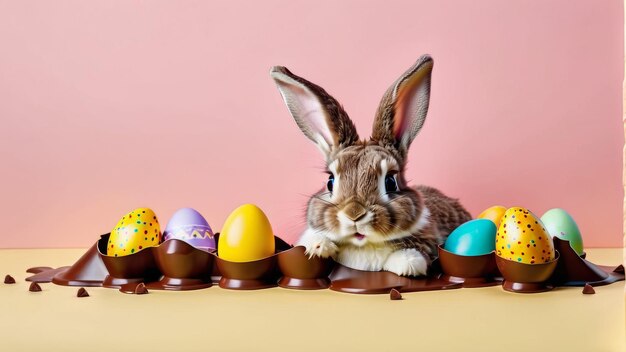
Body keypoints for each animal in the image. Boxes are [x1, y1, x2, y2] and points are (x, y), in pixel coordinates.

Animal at [268, 55, 468, 276]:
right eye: (330, 181)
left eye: (390, 182)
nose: (354, 214)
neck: (362, 245)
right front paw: (319, 247)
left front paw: (407, 264)